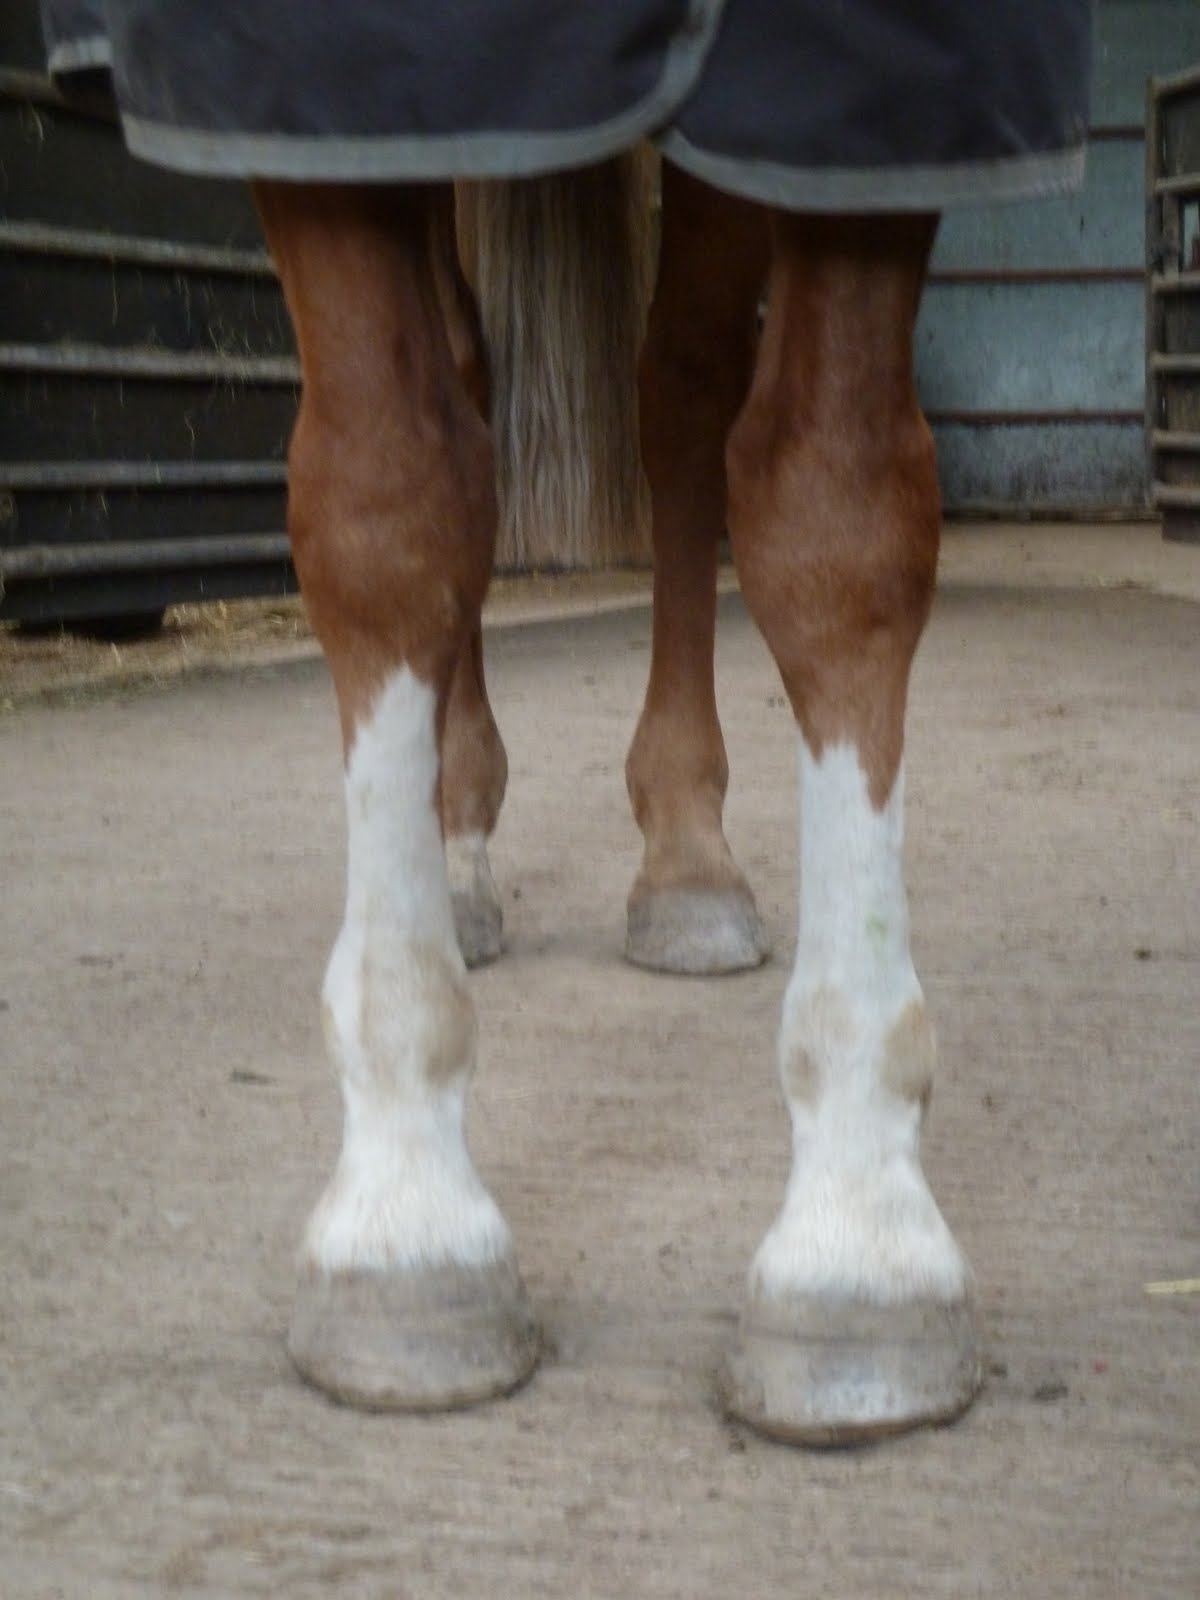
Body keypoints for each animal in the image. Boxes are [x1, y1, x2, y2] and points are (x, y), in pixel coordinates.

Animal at [41, 0, 1092, 1445]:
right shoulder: (308, 81)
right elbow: (387, 498)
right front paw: (407, 1216)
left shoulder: (874, 94)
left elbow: (837, 509)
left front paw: (859, 1239)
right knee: (468, 386)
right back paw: (459, 842)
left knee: (683, 393)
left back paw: (688, 857)